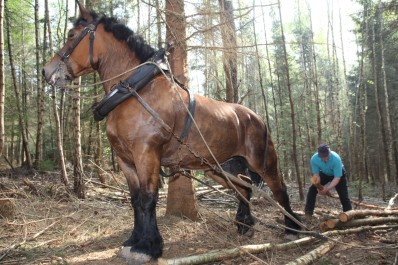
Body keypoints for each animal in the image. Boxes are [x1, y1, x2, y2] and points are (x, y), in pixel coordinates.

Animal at [42, 2, 300, 264]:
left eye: (71, 35)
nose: (46, 71)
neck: (136, 90)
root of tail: (257, 117)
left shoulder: (146, 154)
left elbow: (148, 199)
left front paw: (148, 247)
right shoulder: (126, 160)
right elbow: (135, 200)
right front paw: (133, 241)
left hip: (263, 161)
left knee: (279, 189)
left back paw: (292, 228)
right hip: (220, 167)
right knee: (244, 187)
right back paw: (244, 225)